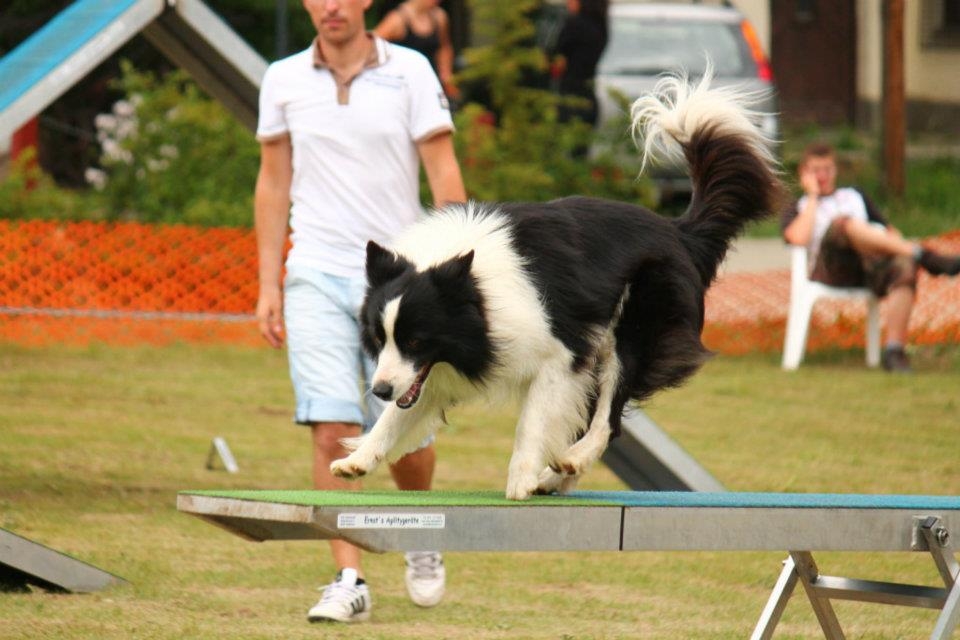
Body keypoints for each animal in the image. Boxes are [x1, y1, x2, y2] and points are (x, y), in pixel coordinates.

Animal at [330, 71, 782, 500]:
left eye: (417, 340)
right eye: (379, 339)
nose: (380, 389)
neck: (477, 293)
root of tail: (680, 231)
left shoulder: (559, 354)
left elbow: (531, 422)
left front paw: (519, 481)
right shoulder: (434, 370)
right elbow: (400, 414)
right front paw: (358, 459)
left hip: (634, 324)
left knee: (609, 417)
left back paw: (569, 461)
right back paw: (556, 477)